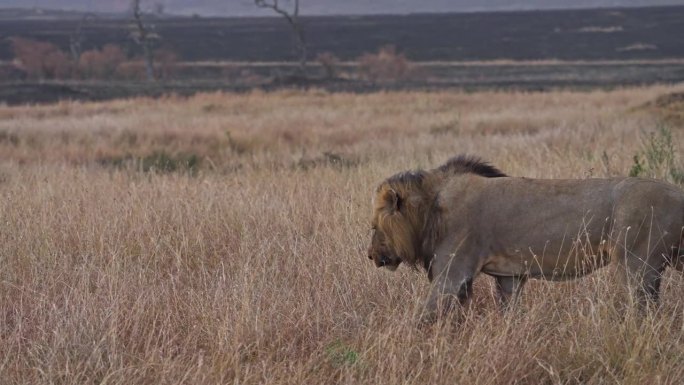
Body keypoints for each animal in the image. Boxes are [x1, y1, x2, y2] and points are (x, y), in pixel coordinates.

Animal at [366, 154, 684, 316]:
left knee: (644, 310)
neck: (432, 206)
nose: (370, 255)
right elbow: (509, 312)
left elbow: (426, 315)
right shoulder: (510, 276)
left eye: (373, 226)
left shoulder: (452, 273)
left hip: (637, 266)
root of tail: (678, 193)